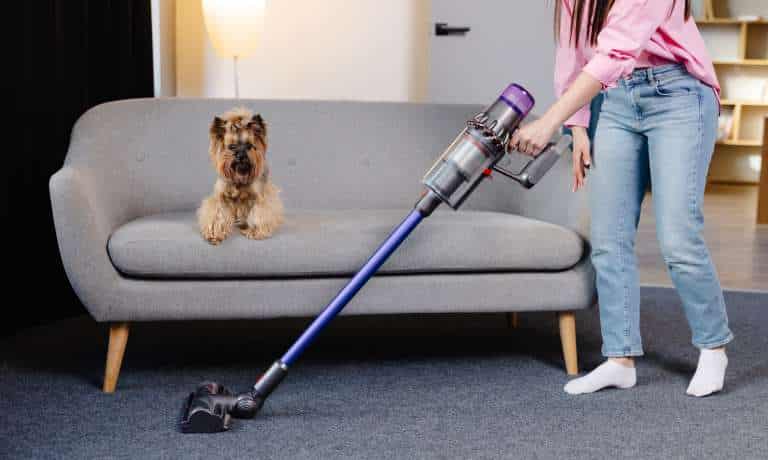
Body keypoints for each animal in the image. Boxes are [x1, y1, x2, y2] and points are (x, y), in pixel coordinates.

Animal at [196, 108, 284, 244]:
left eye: (249, 146)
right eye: (232, 147)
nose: (241, 155)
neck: (239, 176)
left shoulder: (259, 198)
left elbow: (258, 214)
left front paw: (254, 231)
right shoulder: (221, 198)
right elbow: (217, 214)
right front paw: (215, 234)